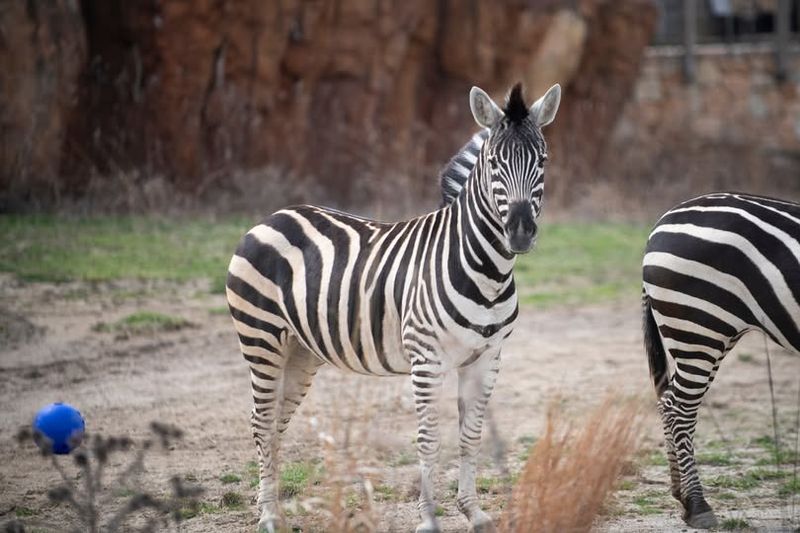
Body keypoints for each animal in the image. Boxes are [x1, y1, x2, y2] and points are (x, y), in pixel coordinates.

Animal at [226, 81, 561, 533]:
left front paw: (473, 511)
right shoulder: (427, 359)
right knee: (261, 423)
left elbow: (470, 436)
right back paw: (267, 517)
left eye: (542, 160)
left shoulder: (488, 358)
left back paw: (275, 507)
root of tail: (274, 215)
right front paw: (429, 519)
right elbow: (429, 439)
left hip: (299, 351)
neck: (487, 271)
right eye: (494, 163)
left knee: (276, 424)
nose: (521, 232)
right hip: (260, 339)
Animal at [643, 192, 800, 528]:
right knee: (680, 408)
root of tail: (662, 223)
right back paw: (698, 505)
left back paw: (681, 494)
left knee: (668, 400)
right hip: (700, 326)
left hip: (711, 334)